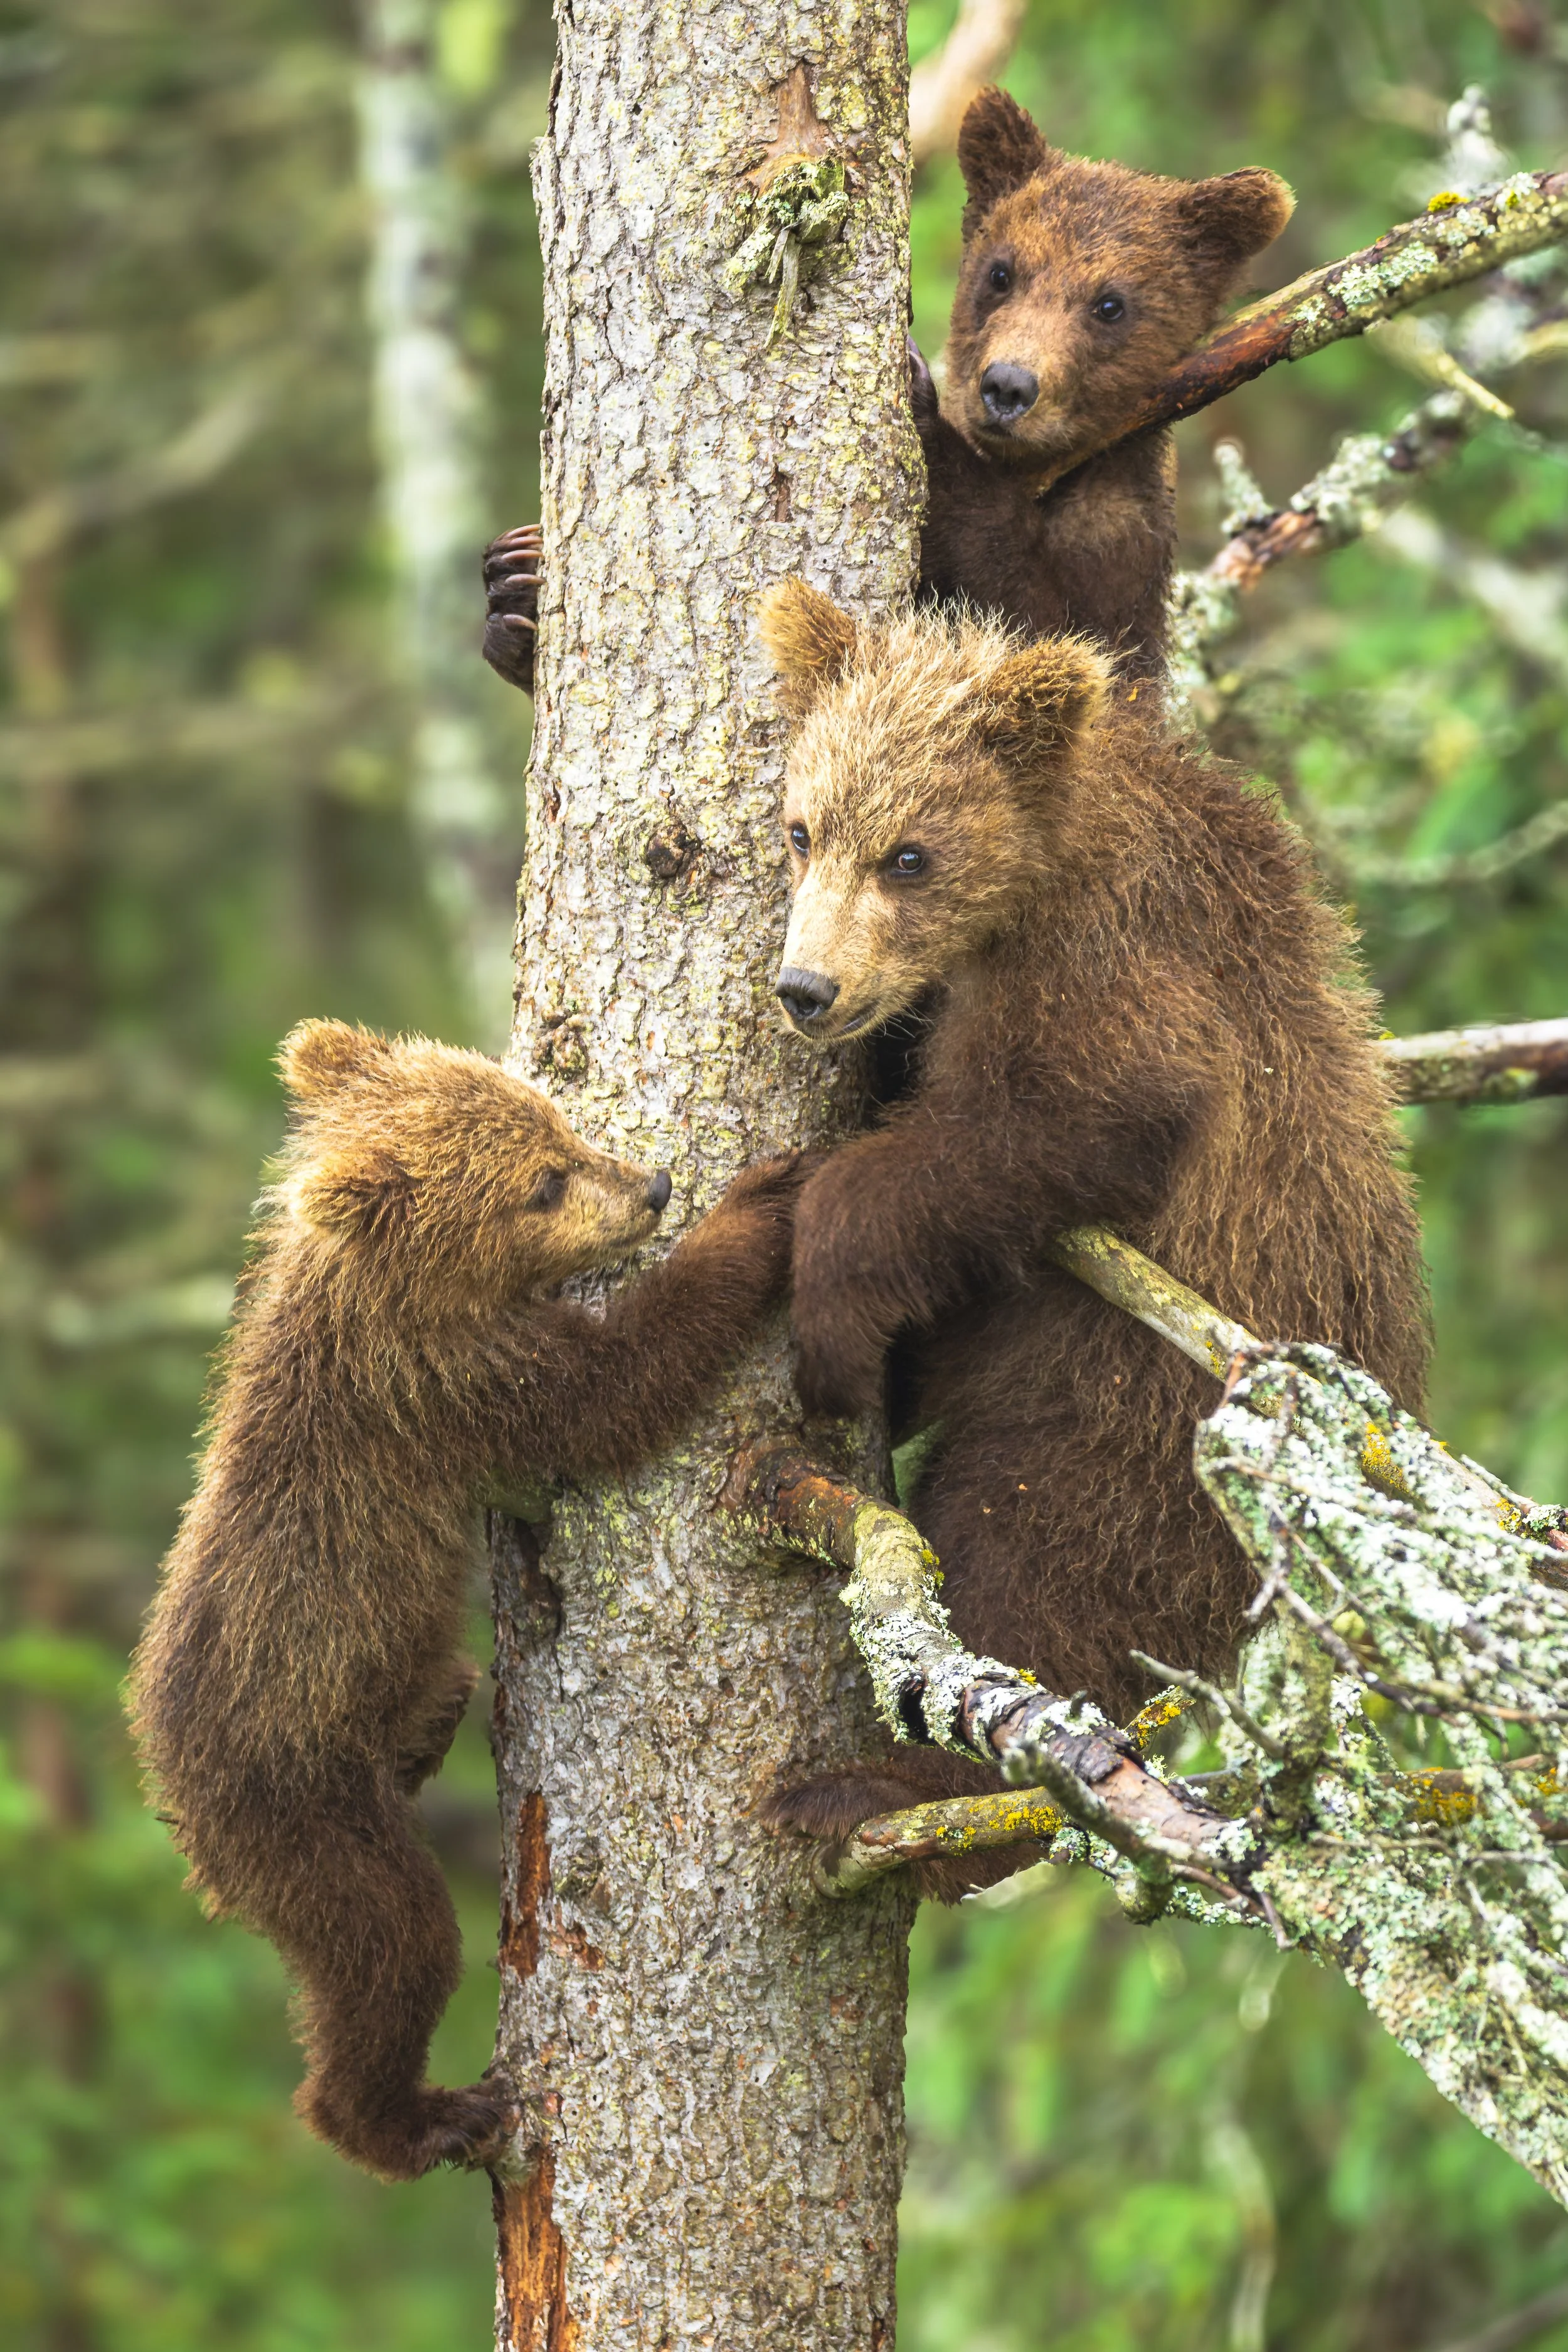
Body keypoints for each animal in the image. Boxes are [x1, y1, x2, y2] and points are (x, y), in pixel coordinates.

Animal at [129, 1019, 808, 2180]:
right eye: (541, 1183)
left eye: (555, 1121)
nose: (654, 1186)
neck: (391, 1292)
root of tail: (174, 1794)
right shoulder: (453, 1381)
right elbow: (617, 1385)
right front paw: (758, 1203)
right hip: (301, 1798)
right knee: (390, 1948)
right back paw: (428, 2114)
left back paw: (442, 1703)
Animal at [755, 579, 1428, 1869]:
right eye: (805, 828)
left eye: (911, 854)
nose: (809, 989)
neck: (1040, 879)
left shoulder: (1128, 969)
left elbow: (1063, 1119)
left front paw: (830, 1298)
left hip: (1127, 1417)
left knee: (1034, 1574)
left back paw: (888, 1792)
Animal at [912, 86, 1293, 681]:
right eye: (1001, 273)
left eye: (1110, 305)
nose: (1008, 387)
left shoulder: (1119, 539)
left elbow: (1045, 623)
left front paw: (925, 414)